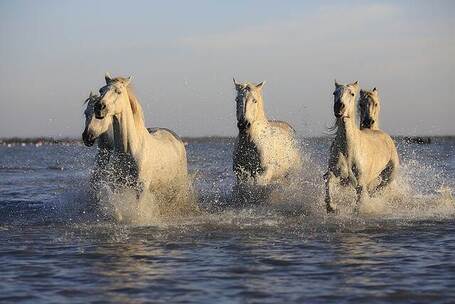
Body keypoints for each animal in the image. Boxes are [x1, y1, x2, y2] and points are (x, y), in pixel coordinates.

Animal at [324, 81, 400, 214]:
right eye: (334, 93)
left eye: (352, 93)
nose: (339, 107)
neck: (348, 149)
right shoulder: (335, 174)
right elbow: (328, 184)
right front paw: (332, 207)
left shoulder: (360, 182)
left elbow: (360, 199)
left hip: (388, 176)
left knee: (378, 189)